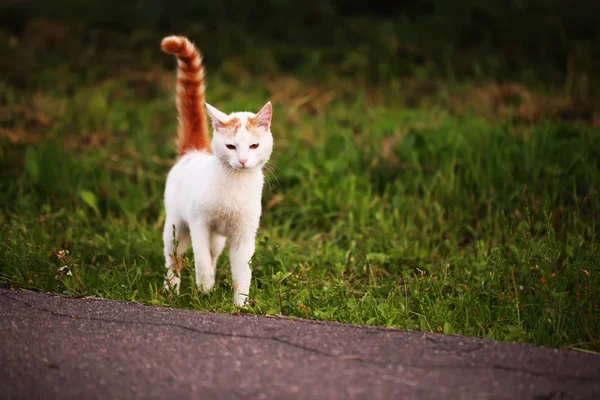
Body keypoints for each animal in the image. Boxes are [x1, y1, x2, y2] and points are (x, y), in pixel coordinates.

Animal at [159, 36, 272, 308]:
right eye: (231, 146)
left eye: (254, 146)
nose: (243, 160)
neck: (235, 184)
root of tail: (193, 152)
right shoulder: (199, 222)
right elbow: (200, 258)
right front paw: (205, 284)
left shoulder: (245, 234)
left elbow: (242, 270)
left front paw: (241, 303)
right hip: (175, 225)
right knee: (174, 258)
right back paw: (172, 290)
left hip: (219, 238)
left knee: (212, 252)